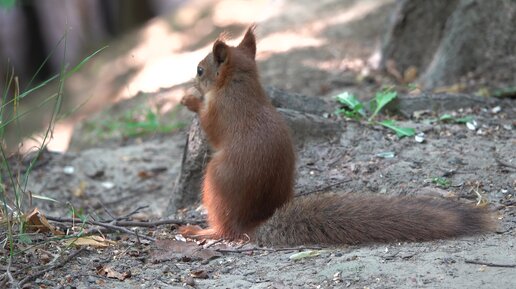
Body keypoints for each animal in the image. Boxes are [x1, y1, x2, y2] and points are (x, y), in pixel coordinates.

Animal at [179, 25, 494, 244]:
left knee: (225, 232)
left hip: (214, 184)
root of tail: (252, 224)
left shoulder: (220, 112)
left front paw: (189, 100)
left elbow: (209, 126)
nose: (191, 80)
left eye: (200, 69)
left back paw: (200, 231)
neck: (239, 85)